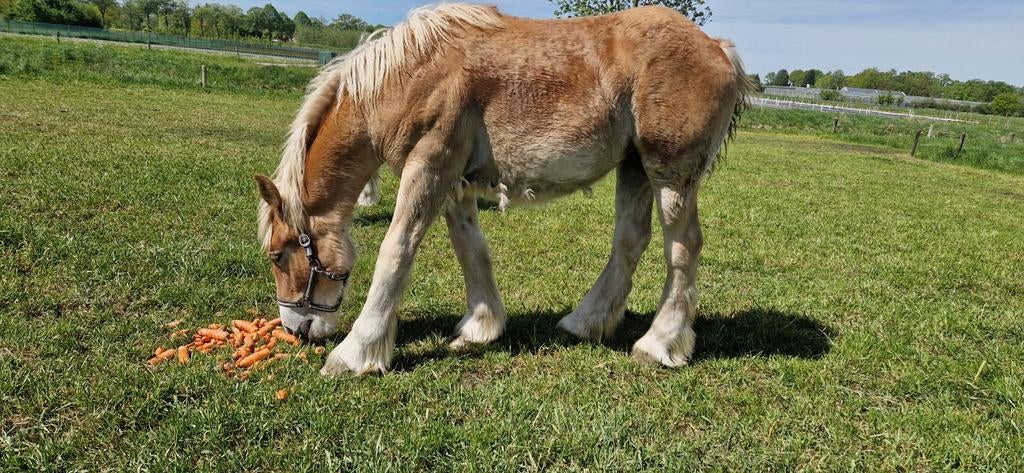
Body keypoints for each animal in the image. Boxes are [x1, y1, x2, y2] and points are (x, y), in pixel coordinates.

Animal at [255, 3, 753, 375]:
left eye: (278, 255)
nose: (296, 329)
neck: (410, 75)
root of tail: (718, 48)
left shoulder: (428, 168)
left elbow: (395, 252)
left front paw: (357, 352)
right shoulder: (455, 183)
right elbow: (470, 249)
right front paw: (481, 326)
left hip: (670, 173)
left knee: (683, 248)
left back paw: (659, 343)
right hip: (635, 167)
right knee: (630, 242)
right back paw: (586, 321)